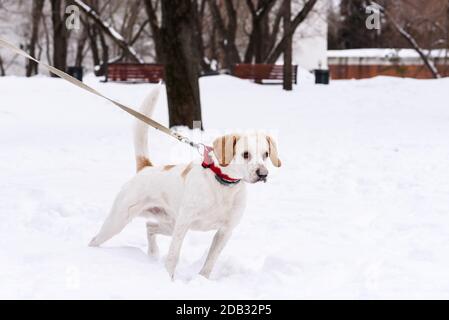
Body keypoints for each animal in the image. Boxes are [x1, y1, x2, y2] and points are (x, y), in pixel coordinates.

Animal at [88, 86, 280, 278]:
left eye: (266, 154)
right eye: (245, 154)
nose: (263, 174)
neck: (223, 186)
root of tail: (146, 168)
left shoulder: (225, 231)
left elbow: (210, 261)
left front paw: (202, 279)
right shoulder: (184, 223)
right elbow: (173, 256)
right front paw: (168, 279)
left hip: (168, 223)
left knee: (150, 226)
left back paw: (152, 253)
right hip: (119, 220)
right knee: (95, 239)